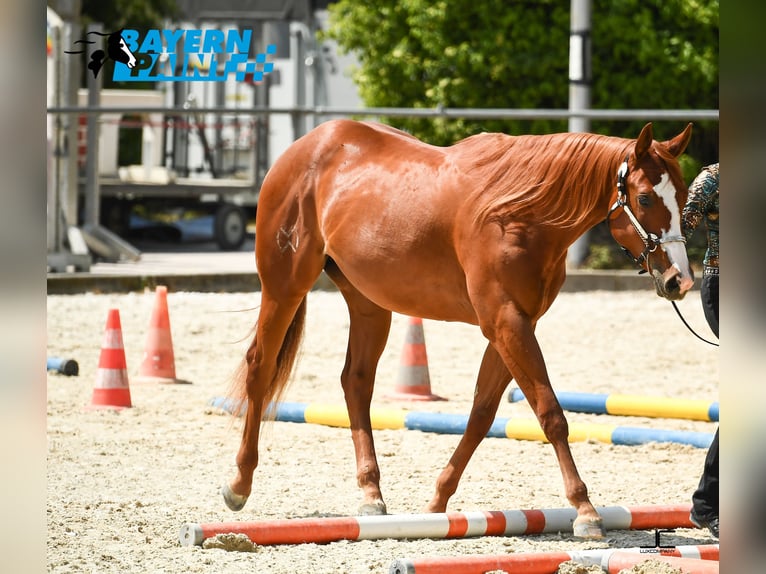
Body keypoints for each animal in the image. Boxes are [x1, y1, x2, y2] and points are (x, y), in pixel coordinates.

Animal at [222, 120, 696, 540]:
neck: (518, 214)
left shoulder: (513, 325)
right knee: (260, 366)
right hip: (284, 287)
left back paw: (372, 494)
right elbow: (550, 413)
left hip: (369, 304)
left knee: (355, 382)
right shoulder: (506, 322)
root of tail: (305, 147)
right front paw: (585, 510)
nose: (680, 281)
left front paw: (436, 502)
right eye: (645, 197)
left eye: (683, 195)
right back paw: (239, 484)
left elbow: (482, 414)